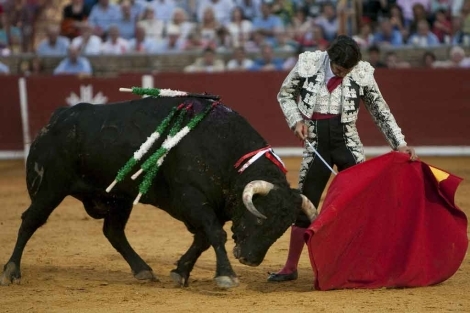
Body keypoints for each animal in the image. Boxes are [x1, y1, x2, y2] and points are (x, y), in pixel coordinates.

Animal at [0, 95, 316, 288]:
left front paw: (180, 272)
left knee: (113, 232)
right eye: (261, 217)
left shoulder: (202, 206)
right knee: (30, 221)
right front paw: (226, 276)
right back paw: (11, 271)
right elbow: (215, 234)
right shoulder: (191, 197)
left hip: (118, 198)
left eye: (282, 228)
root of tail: (58, 118)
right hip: (50, 187)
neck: (224, 150)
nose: (250, 259)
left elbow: (203, 239)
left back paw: (143, 270)